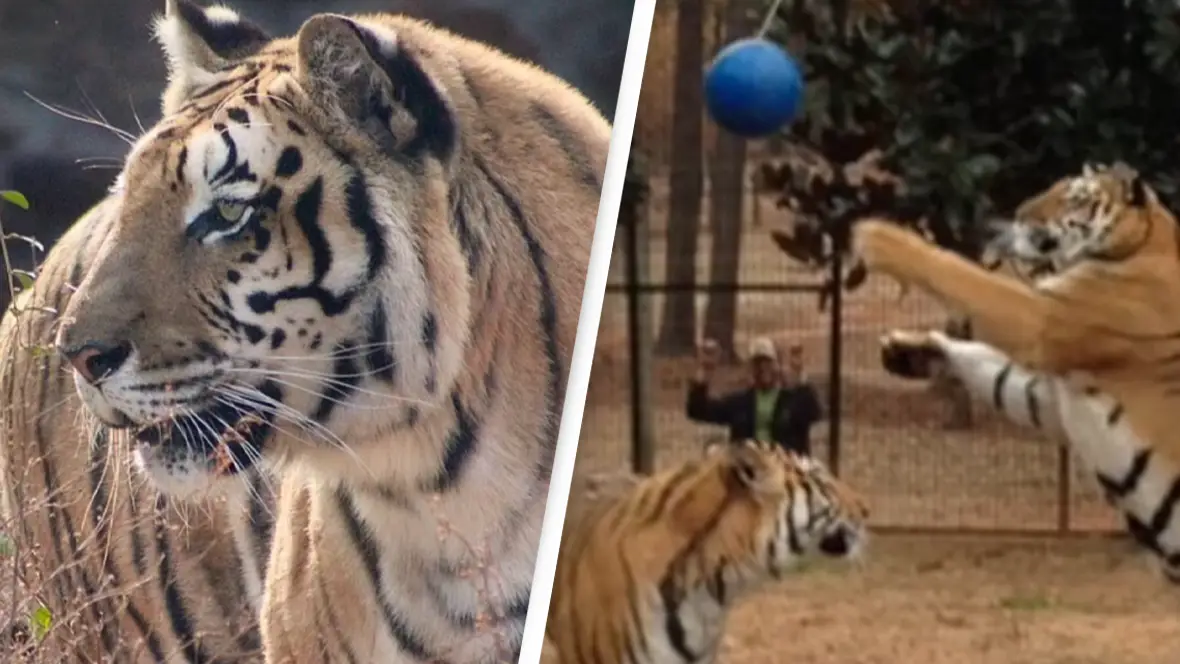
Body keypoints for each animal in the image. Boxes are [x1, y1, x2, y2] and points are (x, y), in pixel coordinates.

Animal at [861, 161, 1180, 582]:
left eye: (1075, 197)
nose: (1019, 213)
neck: (1142, 242)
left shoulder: (1042, 317)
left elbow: (962, 275)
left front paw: (879, 237)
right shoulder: (1050, 398)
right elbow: (994, 374)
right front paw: (911, 352)